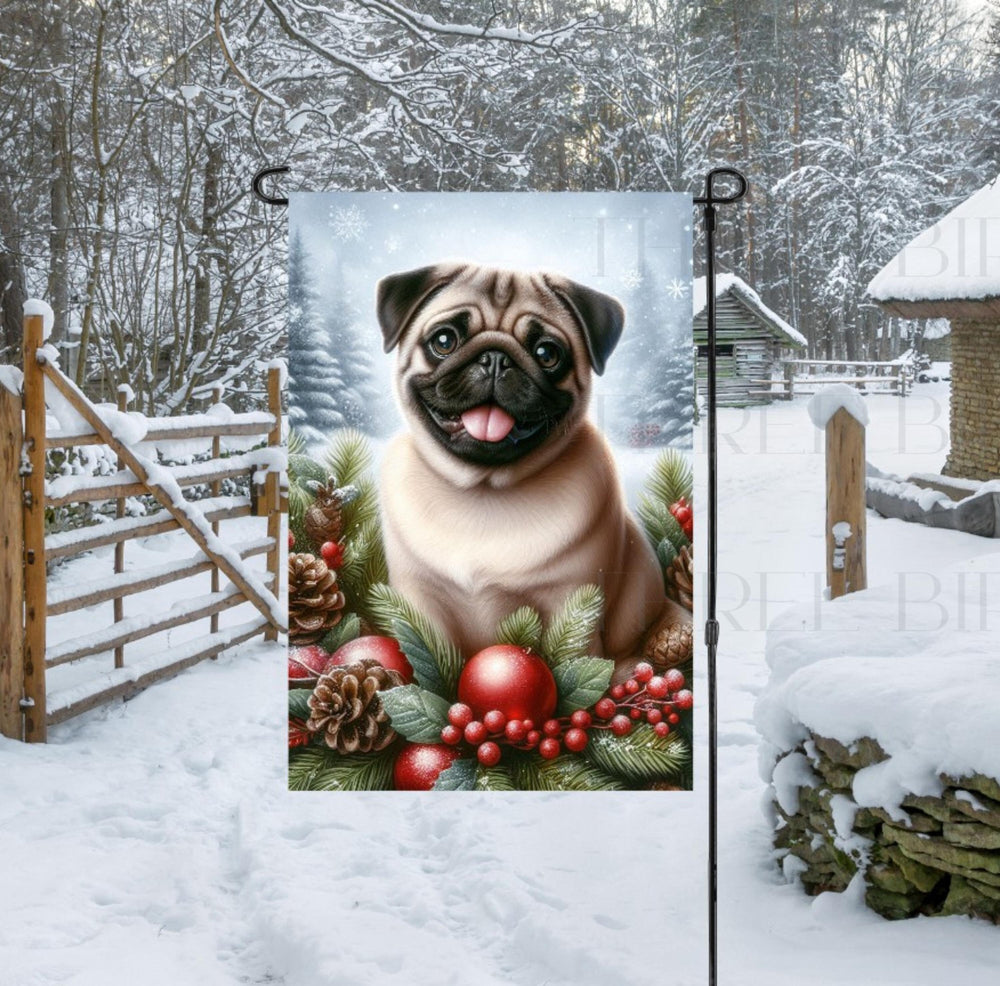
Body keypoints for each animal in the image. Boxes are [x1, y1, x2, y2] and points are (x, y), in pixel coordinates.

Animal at [376, 262, 688, 664]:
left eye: (546, 353)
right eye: (444, 341)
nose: (495, 358)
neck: (483, 491)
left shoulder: (572, 602)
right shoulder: (420, 600)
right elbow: (427, 655)